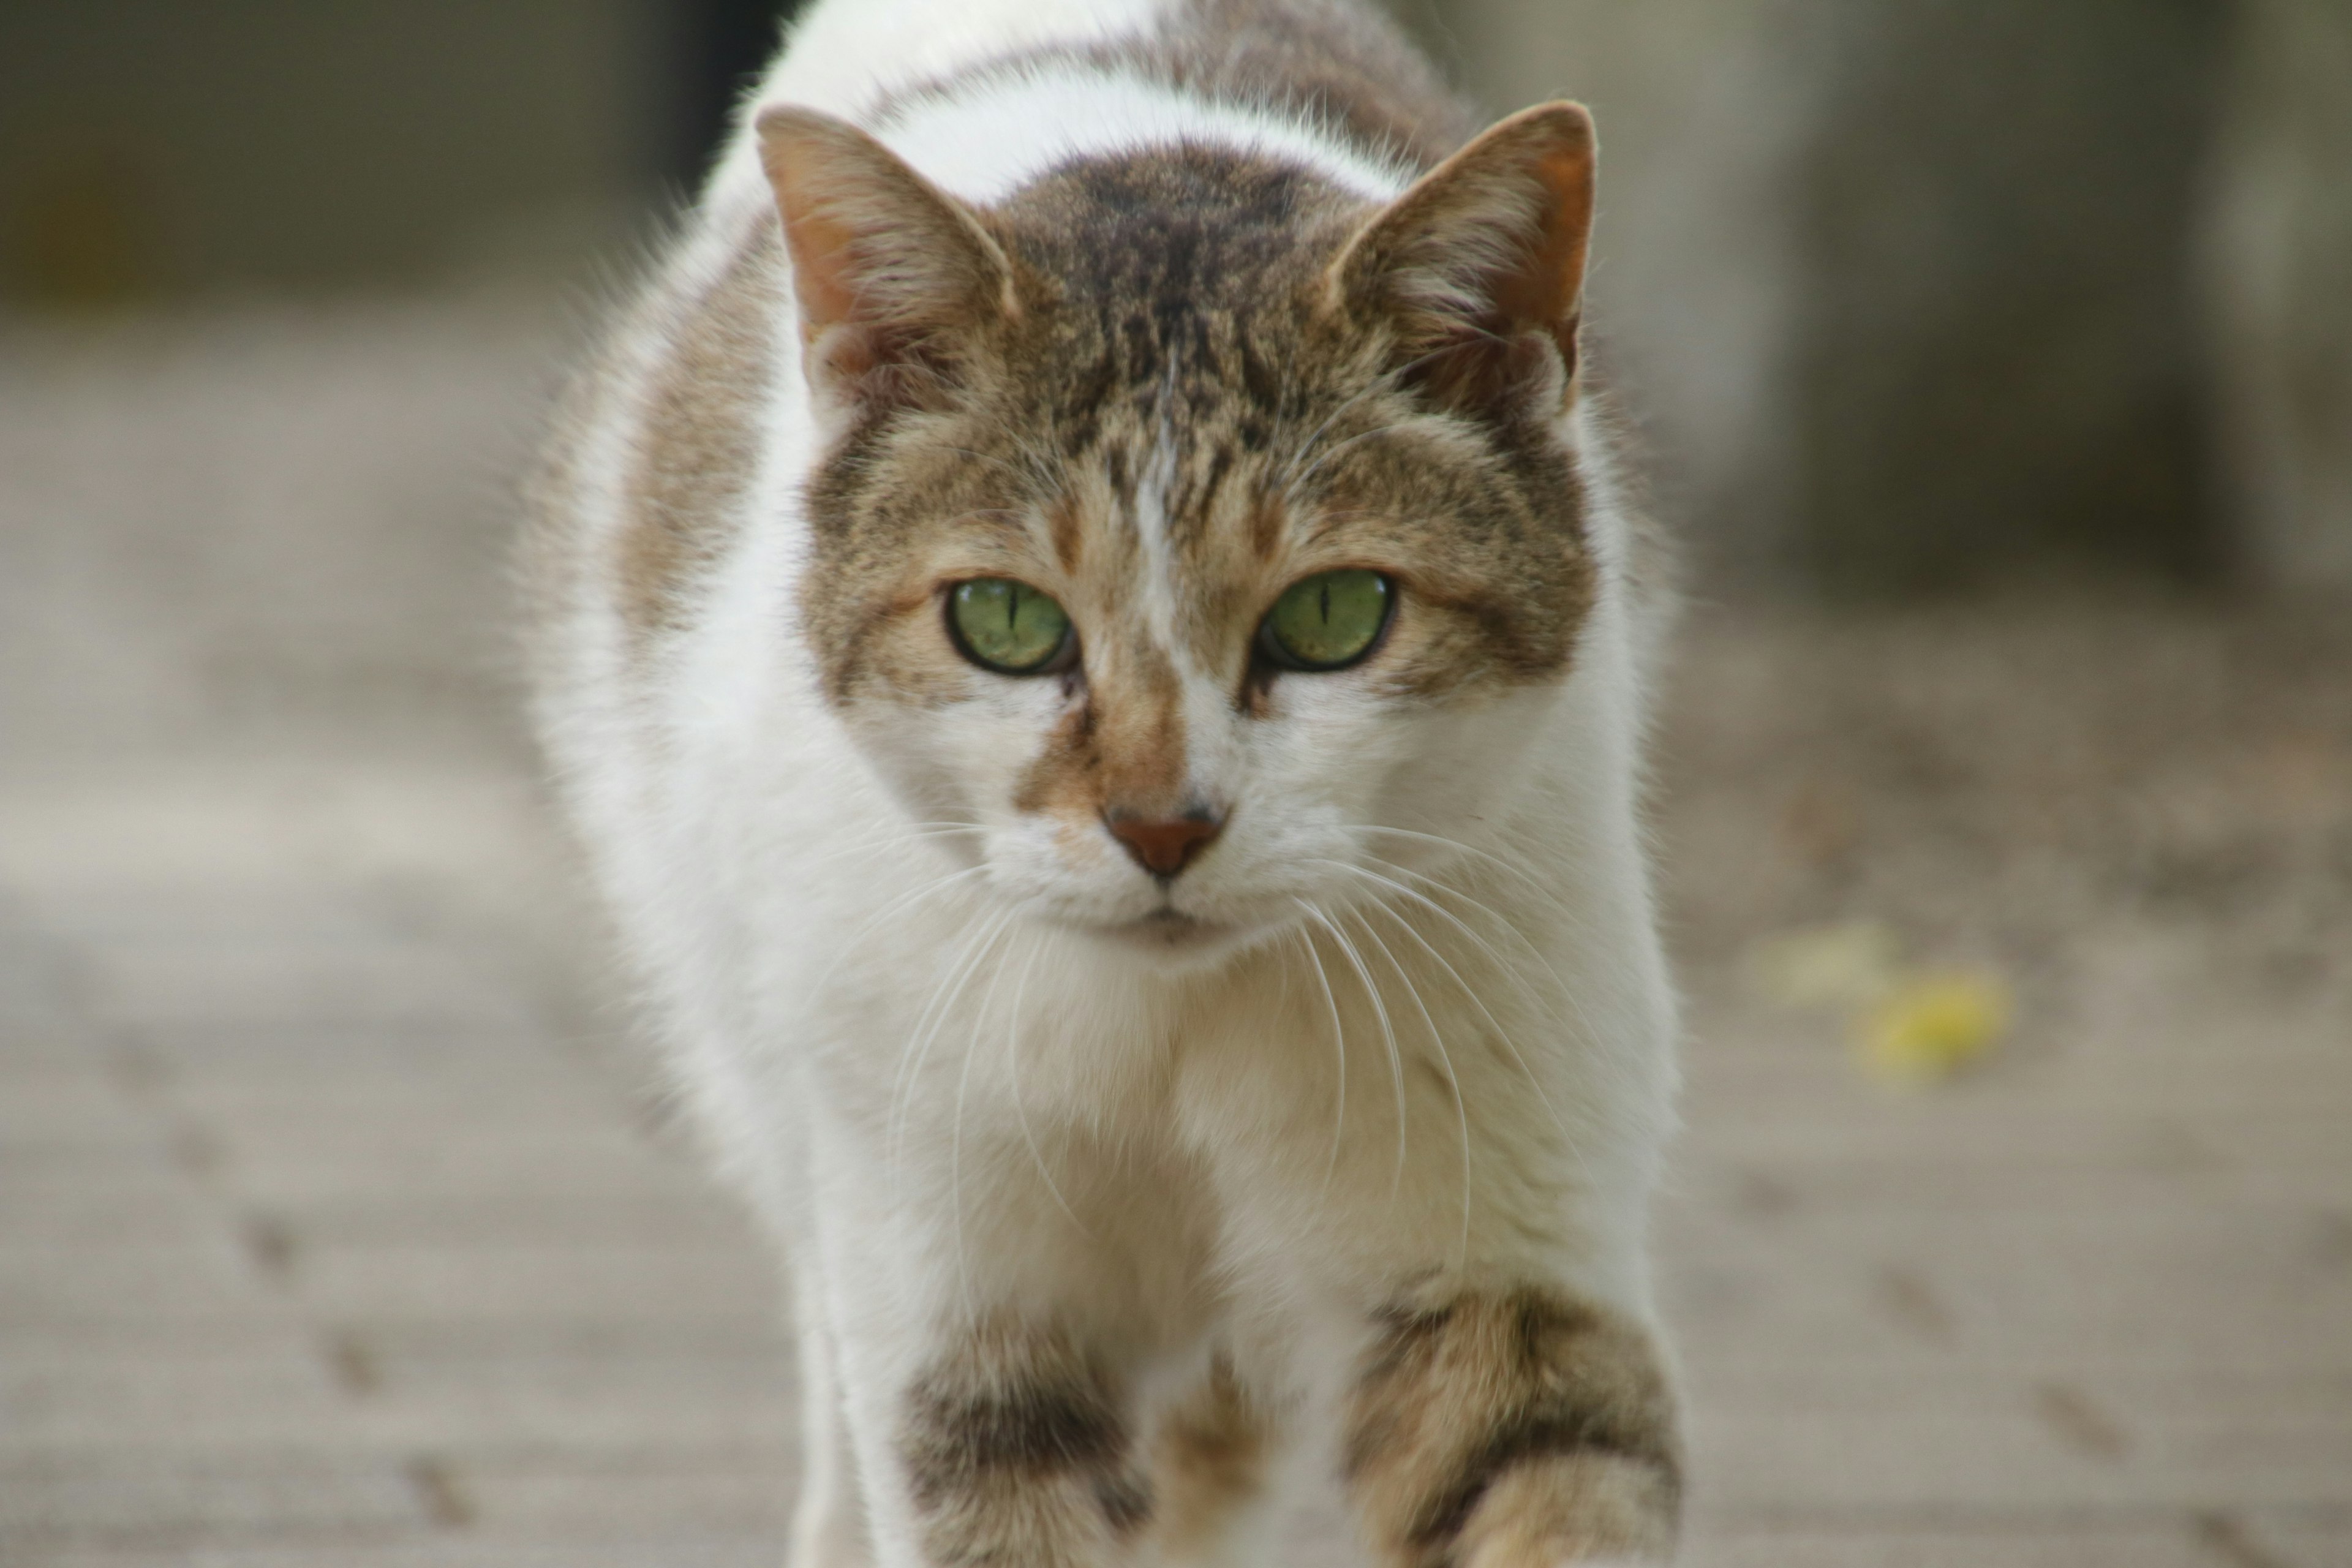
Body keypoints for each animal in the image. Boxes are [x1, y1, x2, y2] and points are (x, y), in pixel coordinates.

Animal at [524, 3, 1684, 1568]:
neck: (1169, 1028)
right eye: (1004, 623)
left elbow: (1545, 1482)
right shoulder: (955, 1288)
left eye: (1337, 616)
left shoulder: (1497, 1237)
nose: (1162, 822)